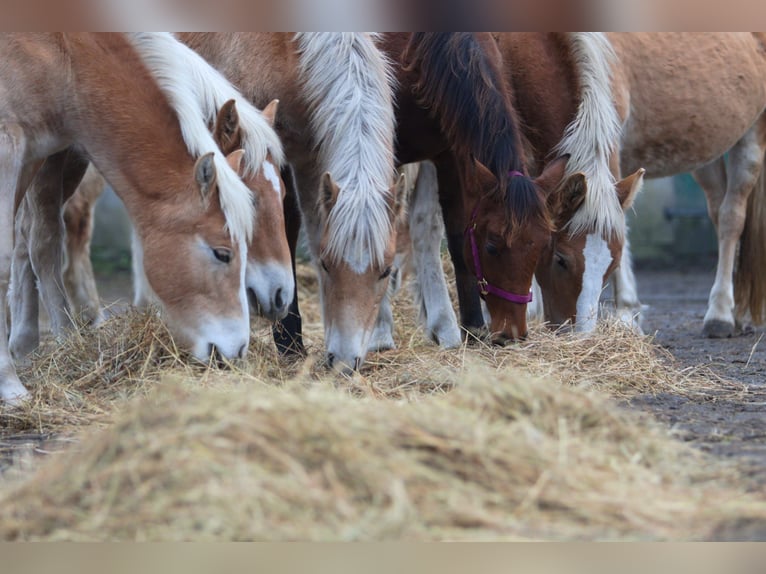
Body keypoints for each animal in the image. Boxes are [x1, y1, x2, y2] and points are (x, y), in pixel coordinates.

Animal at [0, 33, 268, 408]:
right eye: (222, 253)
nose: (237, 350)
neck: (66, 57)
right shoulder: (9, 147)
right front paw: (10, 386)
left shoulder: (31, 155)